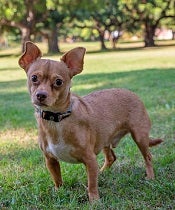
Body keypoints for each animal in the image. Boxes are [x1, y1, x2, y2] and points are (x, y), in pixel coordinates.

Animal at [18, 41, 163, 202]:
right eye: (34, 78)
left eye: (58, 82)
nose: (41, 95)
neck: (57, 120)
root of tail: (132, 93)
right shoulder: (50, 160)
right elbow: (57, 179)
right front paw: (58, 192)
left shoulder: (90, 160)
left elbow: (91, 183)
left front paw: (94, 200)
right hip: (105, 138)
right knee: (111, 157)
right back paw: (103, 172)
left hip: (139, 137)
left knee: (148, 157)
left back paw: (150, 177)